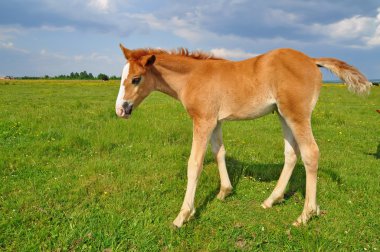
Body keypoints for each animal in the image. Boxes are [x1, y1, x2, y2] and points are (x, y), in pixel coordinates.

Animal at [115, 44, 372, 227]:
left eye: (136, 79)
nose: (121, 110)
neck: (193, 77)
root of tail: (311, 60)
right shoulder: (215, 121)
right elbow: (219, 152)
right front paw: (224, 192)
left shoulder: (203, 120)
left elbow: (194, 163)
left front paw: (183, 216)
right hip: (282, 114)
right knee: (291, 153)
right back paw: (272, 200)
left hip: (296, 114)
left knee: (311, 153)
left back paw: (306, 214)